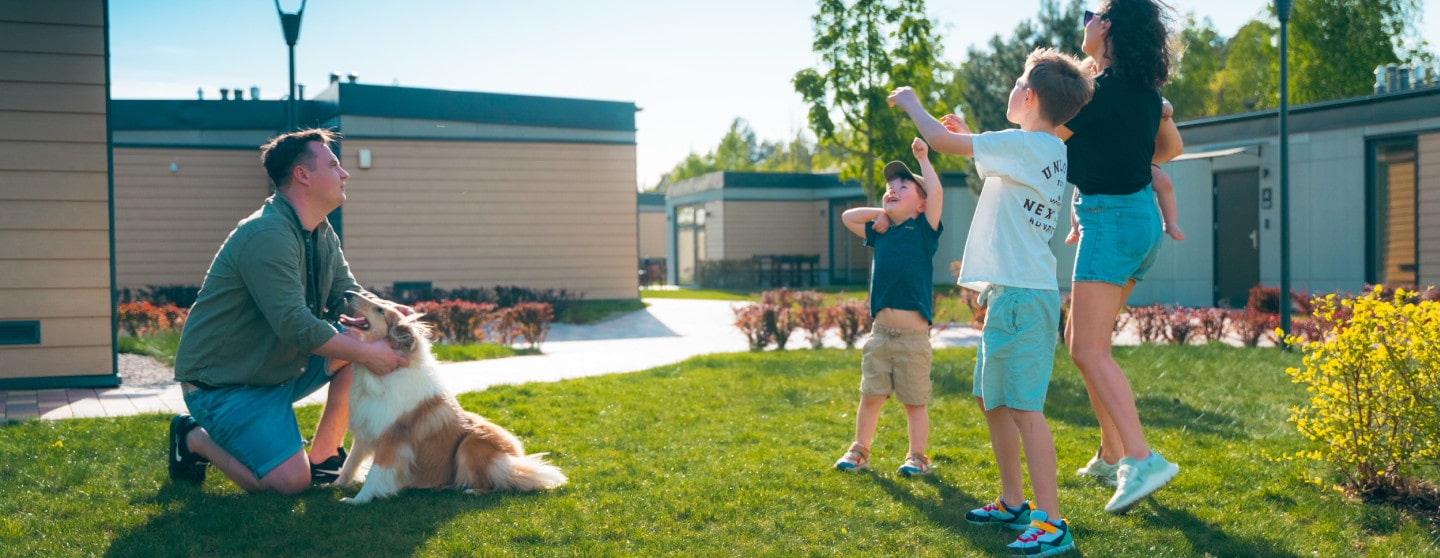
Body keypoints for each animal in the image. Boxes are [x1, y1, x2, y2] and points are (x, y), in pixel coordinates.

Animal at [332, 290, 567, 503]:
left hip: (471, 443)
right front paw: (335, 485)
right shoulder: (364, 433)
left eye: (380, 310)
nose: (347, 292)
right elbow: (350, 463)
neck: (380, 373)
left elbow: (375, 474)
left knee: (490, 485)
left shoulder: (393, 438)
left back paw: (469, 490)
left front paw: (357, 500)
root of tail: (515, 459)